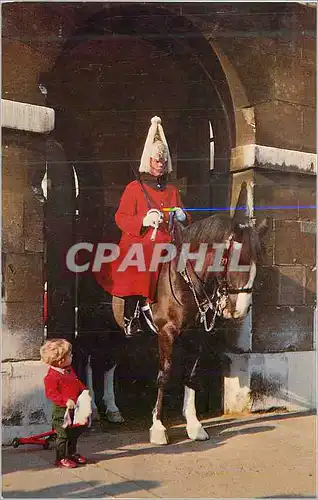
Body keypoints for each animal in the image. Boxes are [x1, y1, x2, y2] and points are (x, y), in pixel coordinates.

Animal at [108, 215, 268, 446]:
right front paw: (158, 427)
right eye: (238, 261)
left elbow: (191, 375)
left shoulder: (197, 335)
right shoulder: (166, 333)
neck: (185, 279)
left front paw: (194, 424)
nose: (240, 310)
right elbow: (164, 375)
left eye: (258, 263)